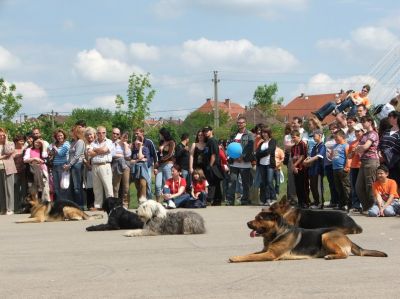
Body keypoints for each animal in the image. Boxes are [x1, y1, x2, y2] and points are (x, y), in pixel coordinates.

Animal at [228, 212, 388, 264]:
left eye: (259, 218)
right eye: (255, 217)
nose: (247, 223)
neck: (277, 232)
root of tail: (348, 238)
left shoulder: (270, 254)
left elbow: (249, 256)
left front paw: (235, 258)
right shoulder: (264, 251)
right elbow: (250, 254)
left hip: (326, 235)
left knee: (344, 254)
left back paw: (331, 256)